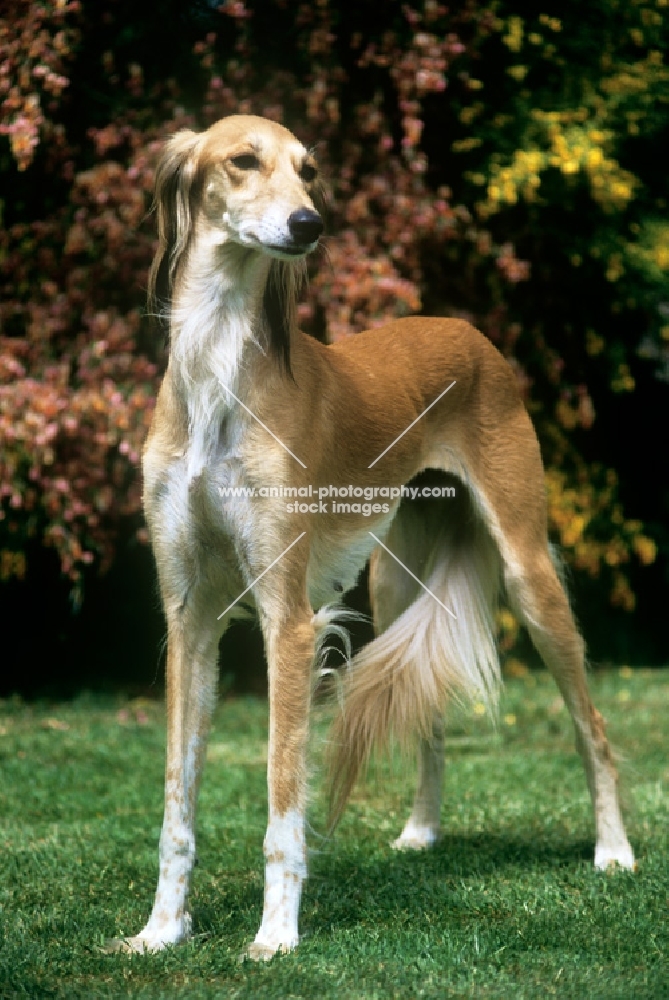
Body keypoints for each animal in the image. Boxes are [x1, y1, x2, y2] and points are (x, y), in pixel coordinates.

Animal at [113, 113, 632, 956]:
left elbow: (281, 793)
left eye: (309, 170)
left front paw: (276, 934)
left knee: (591, 727)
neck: (218, 369)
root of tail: (466, 329)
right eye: (243, 159)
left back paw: (612, 850)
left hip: (527, 572)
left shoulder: (287, 620)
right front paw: (162, 929)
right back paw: (422, 832)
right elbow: (175, 801)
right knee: (429, 713)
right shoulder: (187, 617)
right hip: (395, 582)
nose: (308, 225)